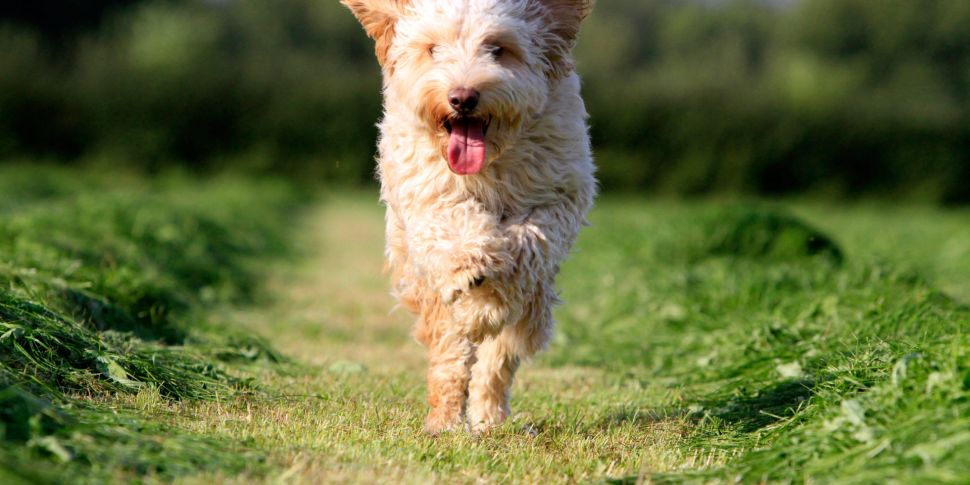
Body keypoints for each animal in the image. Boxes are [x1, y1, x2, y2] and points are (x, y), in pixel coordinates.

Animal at [340, 0, 596, 432]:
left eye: (497, 49)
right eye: (433, 49)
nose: (462, 97)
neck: (487, 168)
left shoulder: (559, 194)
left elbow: (528, 243)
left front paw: (487, 302)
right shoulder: (427, 195)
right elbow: (456, 227)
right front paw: (475, 272)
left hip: (533, 311)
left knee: (499, 358)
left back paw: (489, 415)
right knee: (450, 353)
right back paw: (444, 419)